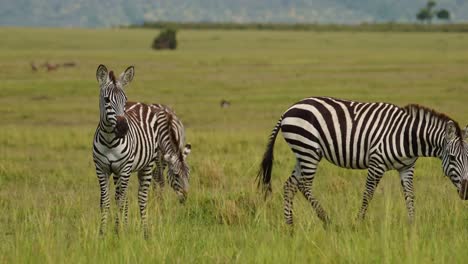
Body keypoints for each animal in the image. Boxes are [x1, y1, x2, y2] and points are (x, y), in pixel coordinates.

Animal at [92, 65, 189, 238]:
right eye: (107, 100)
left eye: (124, 99)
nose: (123, 128)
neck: (110, 140)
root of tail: (141, 104)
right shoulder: (101, 169)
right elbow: (106, 201)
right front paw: (103, 232)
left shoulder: (132, 166)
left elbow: (125, 198)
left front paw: (118, 232)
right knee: (123, 196)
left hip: (144, 165)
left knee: (140, 197)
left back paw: (144, 232)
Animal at [256, 96, 468, 226]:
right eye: (452, 158)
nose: (466, 193)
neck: (407, 136)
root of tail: (289, 109)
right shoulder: (376, 162)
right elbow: (368, 194)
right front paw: (357, 223)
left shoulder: (407, 168)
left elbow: (410, 195)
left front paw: (412, 225)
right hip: (308, 149)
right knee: (304, 185)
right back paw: (327, 220)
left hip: (302, 152)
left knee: (290, 185)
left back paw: (290, 227)